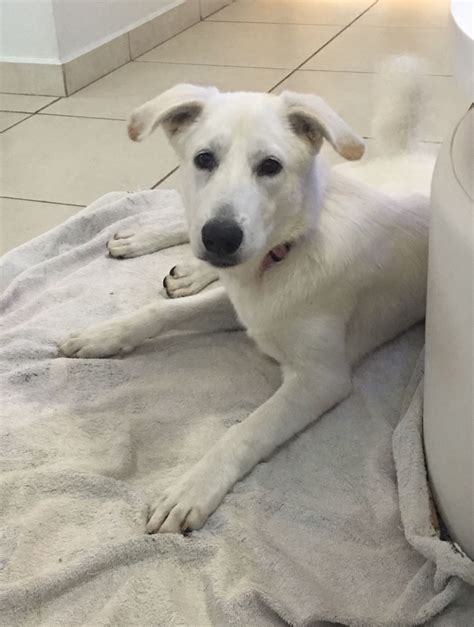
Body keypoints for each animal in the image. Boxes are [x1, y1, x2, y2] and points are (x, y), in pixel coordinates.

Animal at [59, 56, 434, 536]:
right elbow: (160, 312)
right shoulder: (244, 304)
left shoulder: (320, 379)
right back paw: (150, 244)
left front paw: (192, 488)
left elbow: (244, 430)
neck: (283, 255)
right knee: (185, 227)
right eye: (204, 159)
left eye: (270, 166)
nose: (220, 237)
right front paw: (101, 335)